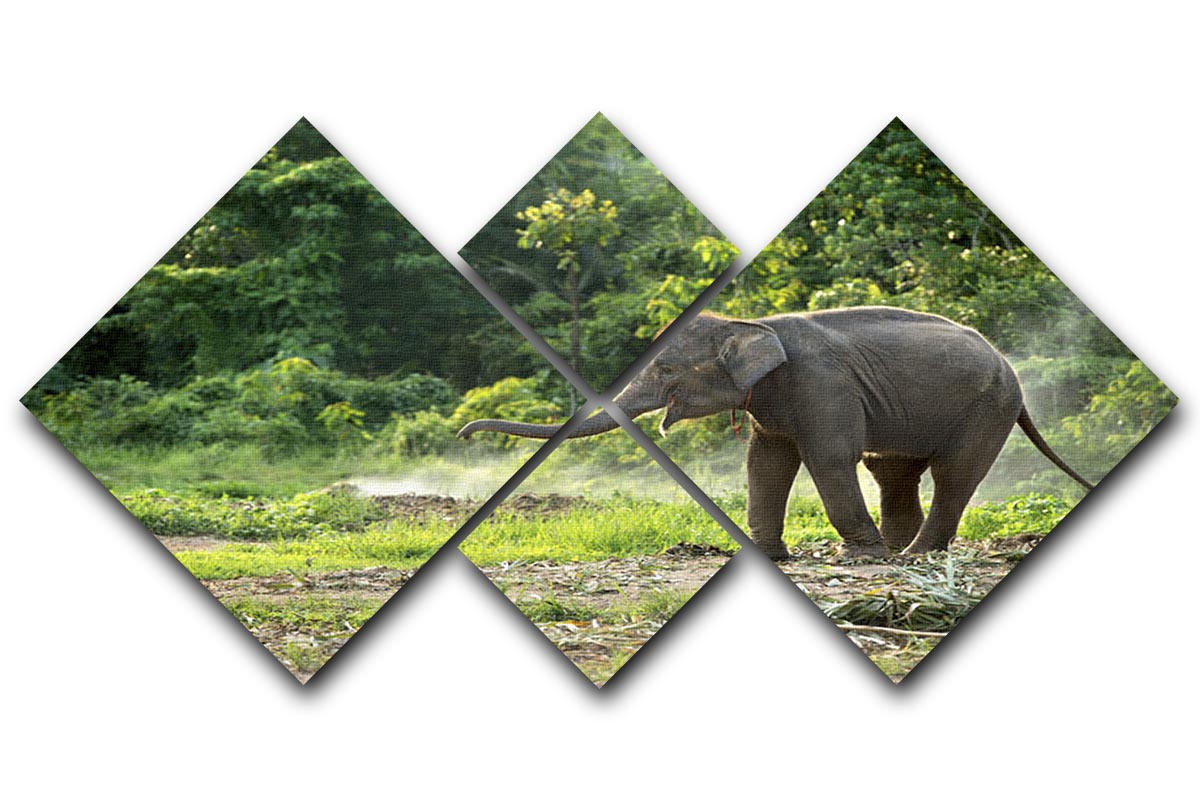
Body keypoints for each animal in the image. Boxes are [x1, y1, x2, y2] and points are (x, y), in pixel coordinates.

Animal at [458, 308, 1094, 559]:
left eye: (665, 370)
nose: (464, 434)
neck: (751, 323)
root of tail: (1007, 362)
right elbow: (766, 462)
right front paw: (769, 554)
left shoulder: (821, 387)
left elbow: (828, 457)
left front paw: (859, 559)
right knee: (893, 469)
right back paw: (899, 551)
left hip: (989, 406)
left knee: (953, 474)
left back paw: (910, 556)